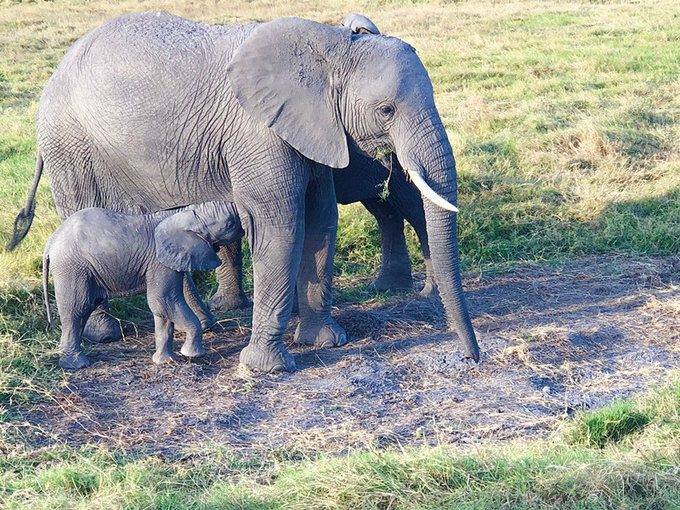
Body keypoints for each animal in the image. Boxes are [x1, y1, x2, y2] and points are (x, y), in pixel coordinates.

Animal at [43, 200, 244, 370]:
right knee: (76, 309)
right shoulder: (159, 262)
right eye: (230, 223)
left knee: (85, 309)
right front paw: (192, 355)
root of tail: (50, 242)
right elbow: (163, 301)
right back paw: (76, 365)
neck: (183, 214)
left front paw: (165, 361)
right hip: (71, 267)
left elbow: (162, 310)